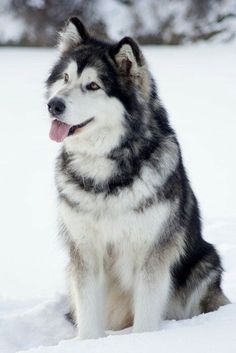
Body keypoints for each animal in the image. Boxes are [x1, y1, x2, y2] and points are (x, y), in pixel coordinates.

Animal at [46, 17, 229, 340]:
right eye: (65, 78)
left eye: (93, 85)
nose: (54, 105)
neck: (105, 170)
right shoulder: (84, 250)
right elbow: (88, 314)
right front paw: (89, 342)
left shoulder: (152, 251)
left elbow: (146, 314)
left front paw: (144, 340)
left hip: (205, 263)